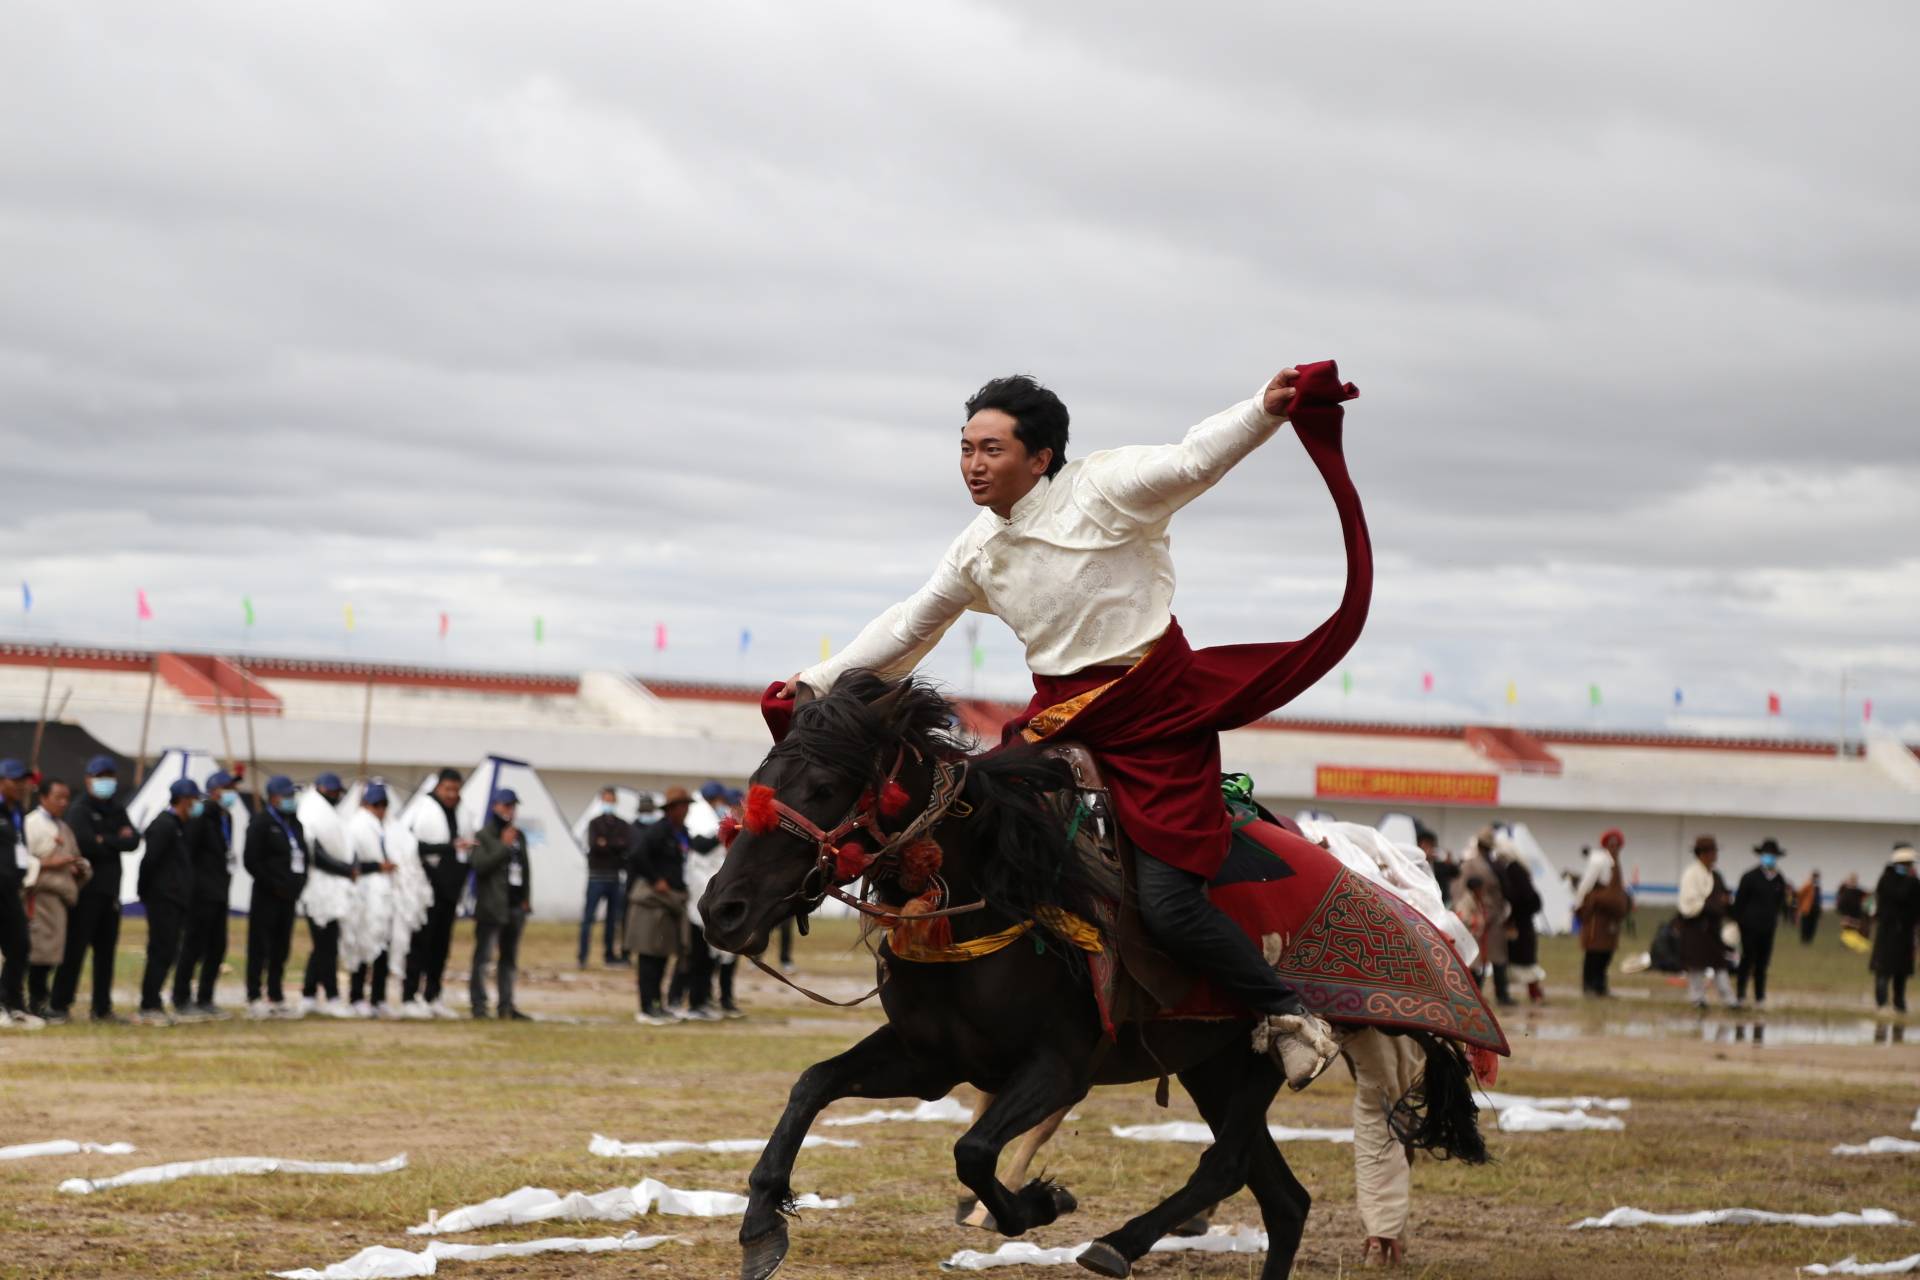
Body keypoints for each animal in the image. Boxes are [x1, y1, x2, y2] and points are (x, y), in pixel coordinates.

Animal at [706, 671, 1482, 1280]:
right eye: (757, 785)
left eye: (824, 786)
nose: (720, 909)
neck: (997, 891)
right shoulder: (930, 1061)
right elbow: (812, 1085)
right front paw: (761, 1222)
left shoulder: (1061, 1067)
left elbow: (973, 1149)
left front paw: (1041, 1203)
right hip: (1210, 1067)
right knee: (1284, 1200)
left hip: (1257, 1059)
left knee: (1229, 1165)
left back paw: (1117, 1243)